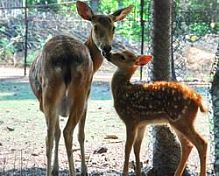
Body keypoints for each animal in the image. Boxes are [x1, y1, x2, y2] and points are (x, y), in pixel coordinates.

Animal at [28, 1, 133, 176]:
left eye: (113, 27)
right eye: (95, 26)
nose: (107, 48)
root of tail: (66, 58)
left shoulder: (45, 106)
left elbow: (56, 132)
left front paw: (56, 169)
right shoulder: (88, 96)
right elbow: (81, 134)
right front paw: (84, 169)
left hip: (49, 94)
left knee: (50, 136)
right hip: (80, 92)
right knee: (68, 132)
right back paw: (74, 171)